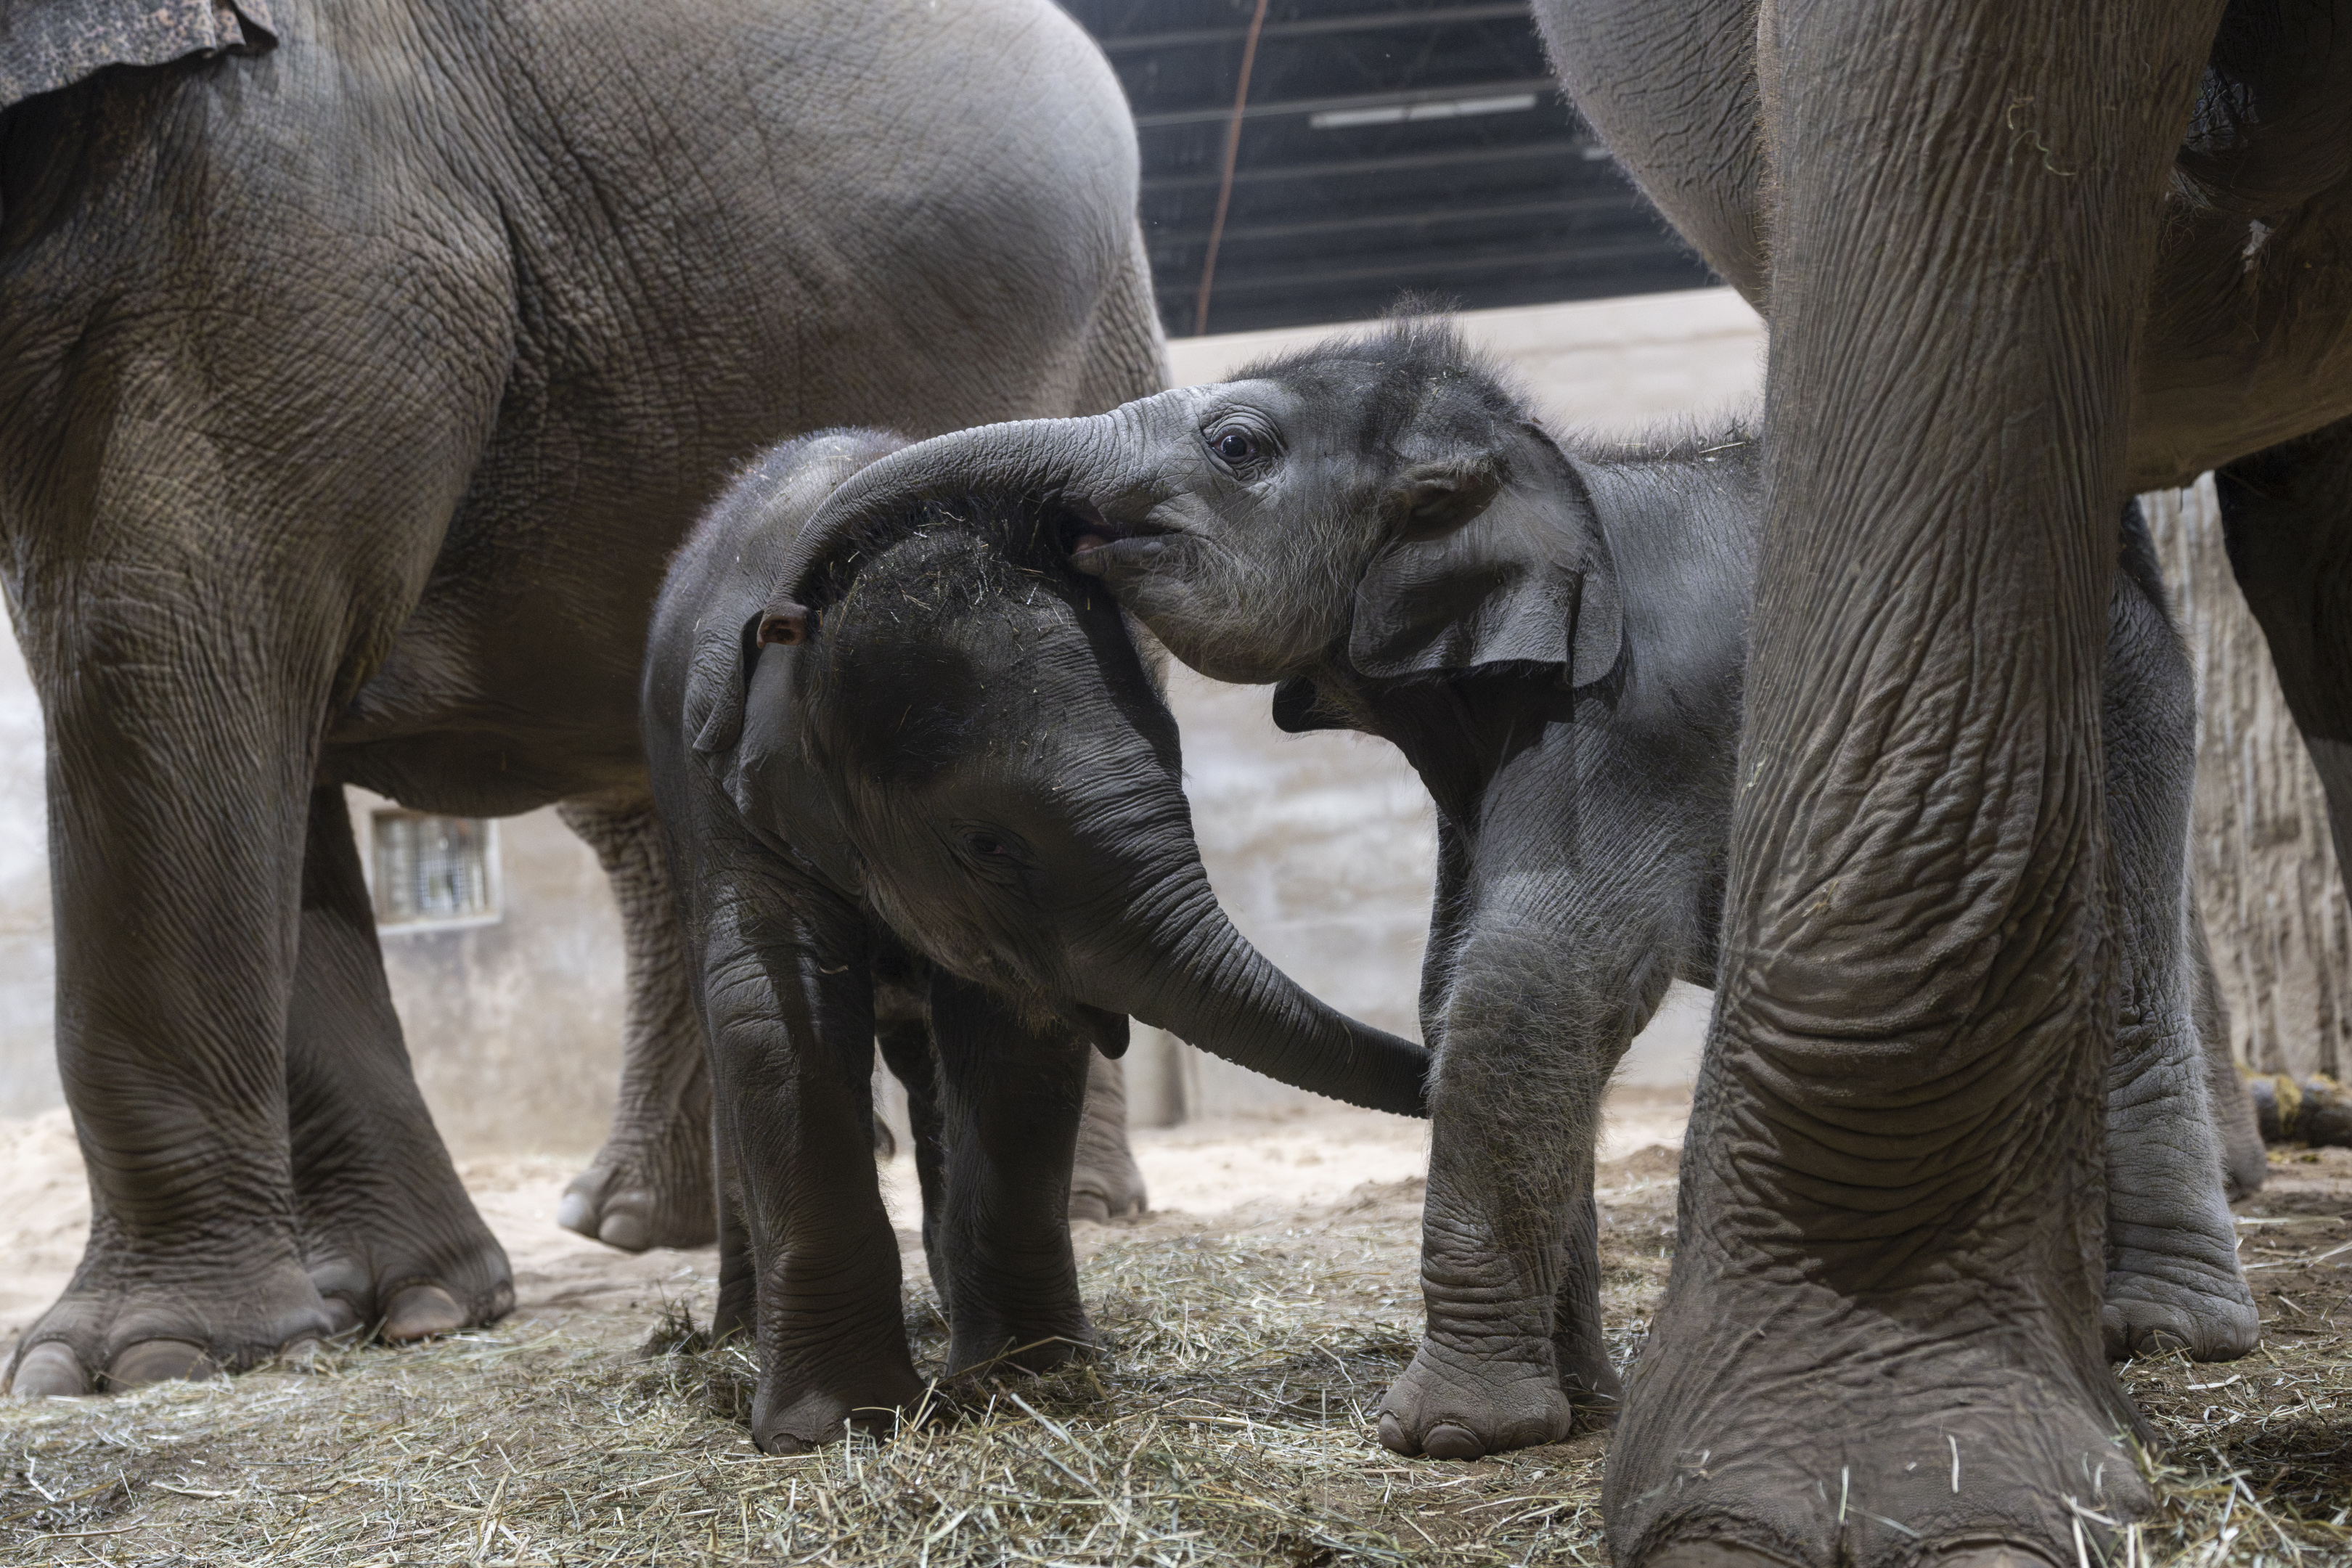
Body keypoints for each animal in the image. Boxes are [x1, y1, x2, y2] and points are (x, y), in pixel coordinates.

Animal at [0, 0, 1164, 1398]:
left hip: (1102, 350)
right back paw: (631, 1228)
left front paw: (130, 1365)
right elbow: (251, 717)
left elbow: (154, 636)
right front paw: (416, 1311)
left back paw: (1083, 1209)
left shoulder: (276, 194)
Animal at [641, 429, 1432, 1453]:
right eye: (984, 844)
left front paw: (1029, 1384)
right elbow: (773, 1018)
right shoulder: (724, 796)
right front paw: (837, 1431)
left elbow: (1015, 1038)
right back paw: (736, 1333)